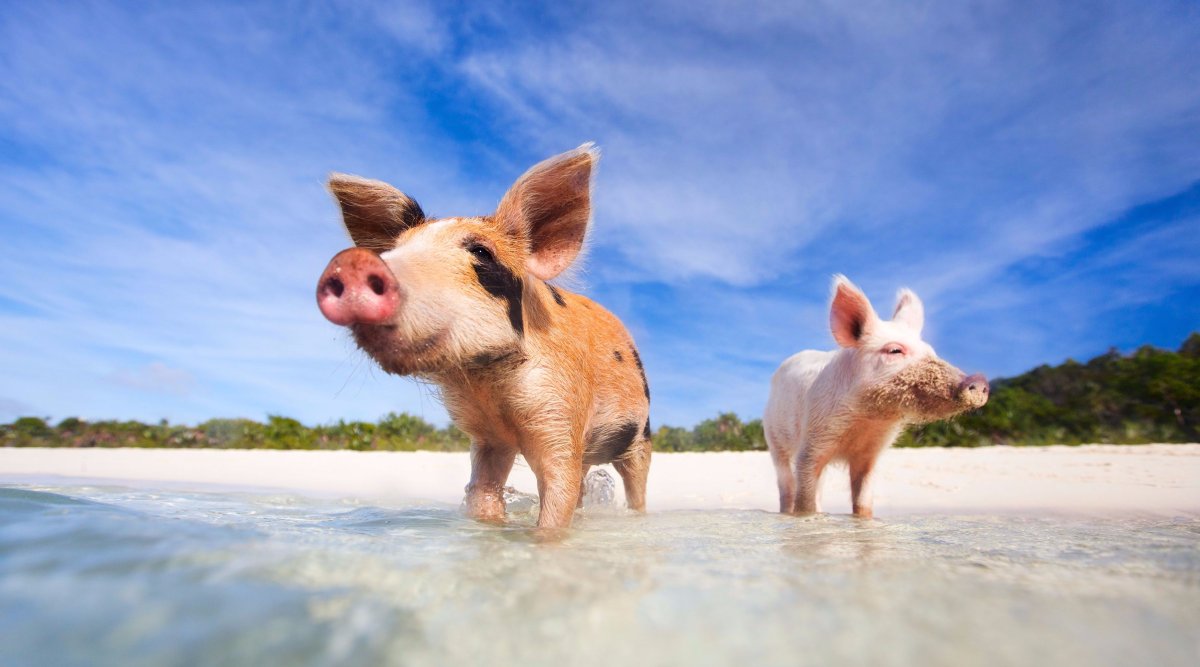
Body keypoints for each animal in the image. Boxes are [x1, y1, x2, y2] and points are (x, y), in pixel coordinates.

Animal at [315, 144, 651, 530]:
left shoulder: (561, 412)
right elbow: (484, 493)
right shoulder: (488, 437)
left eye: (481, 252)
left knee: (635, 485)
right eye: (392, 250)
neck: (490, 385)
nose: (352, 263)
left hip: (641, 436)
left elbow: (557, 498)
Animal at [763, 275, 989, 518]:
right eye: (895, 350)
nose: (979, 381)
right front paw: (805, 518)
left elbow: (863, 501)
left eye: (932, 352)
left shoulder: (871, 453)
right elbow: (804, 501)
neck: (867, 420)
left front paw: (862, 520)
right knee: (786, 485)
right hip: (774, 438)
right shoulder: (812, 441)